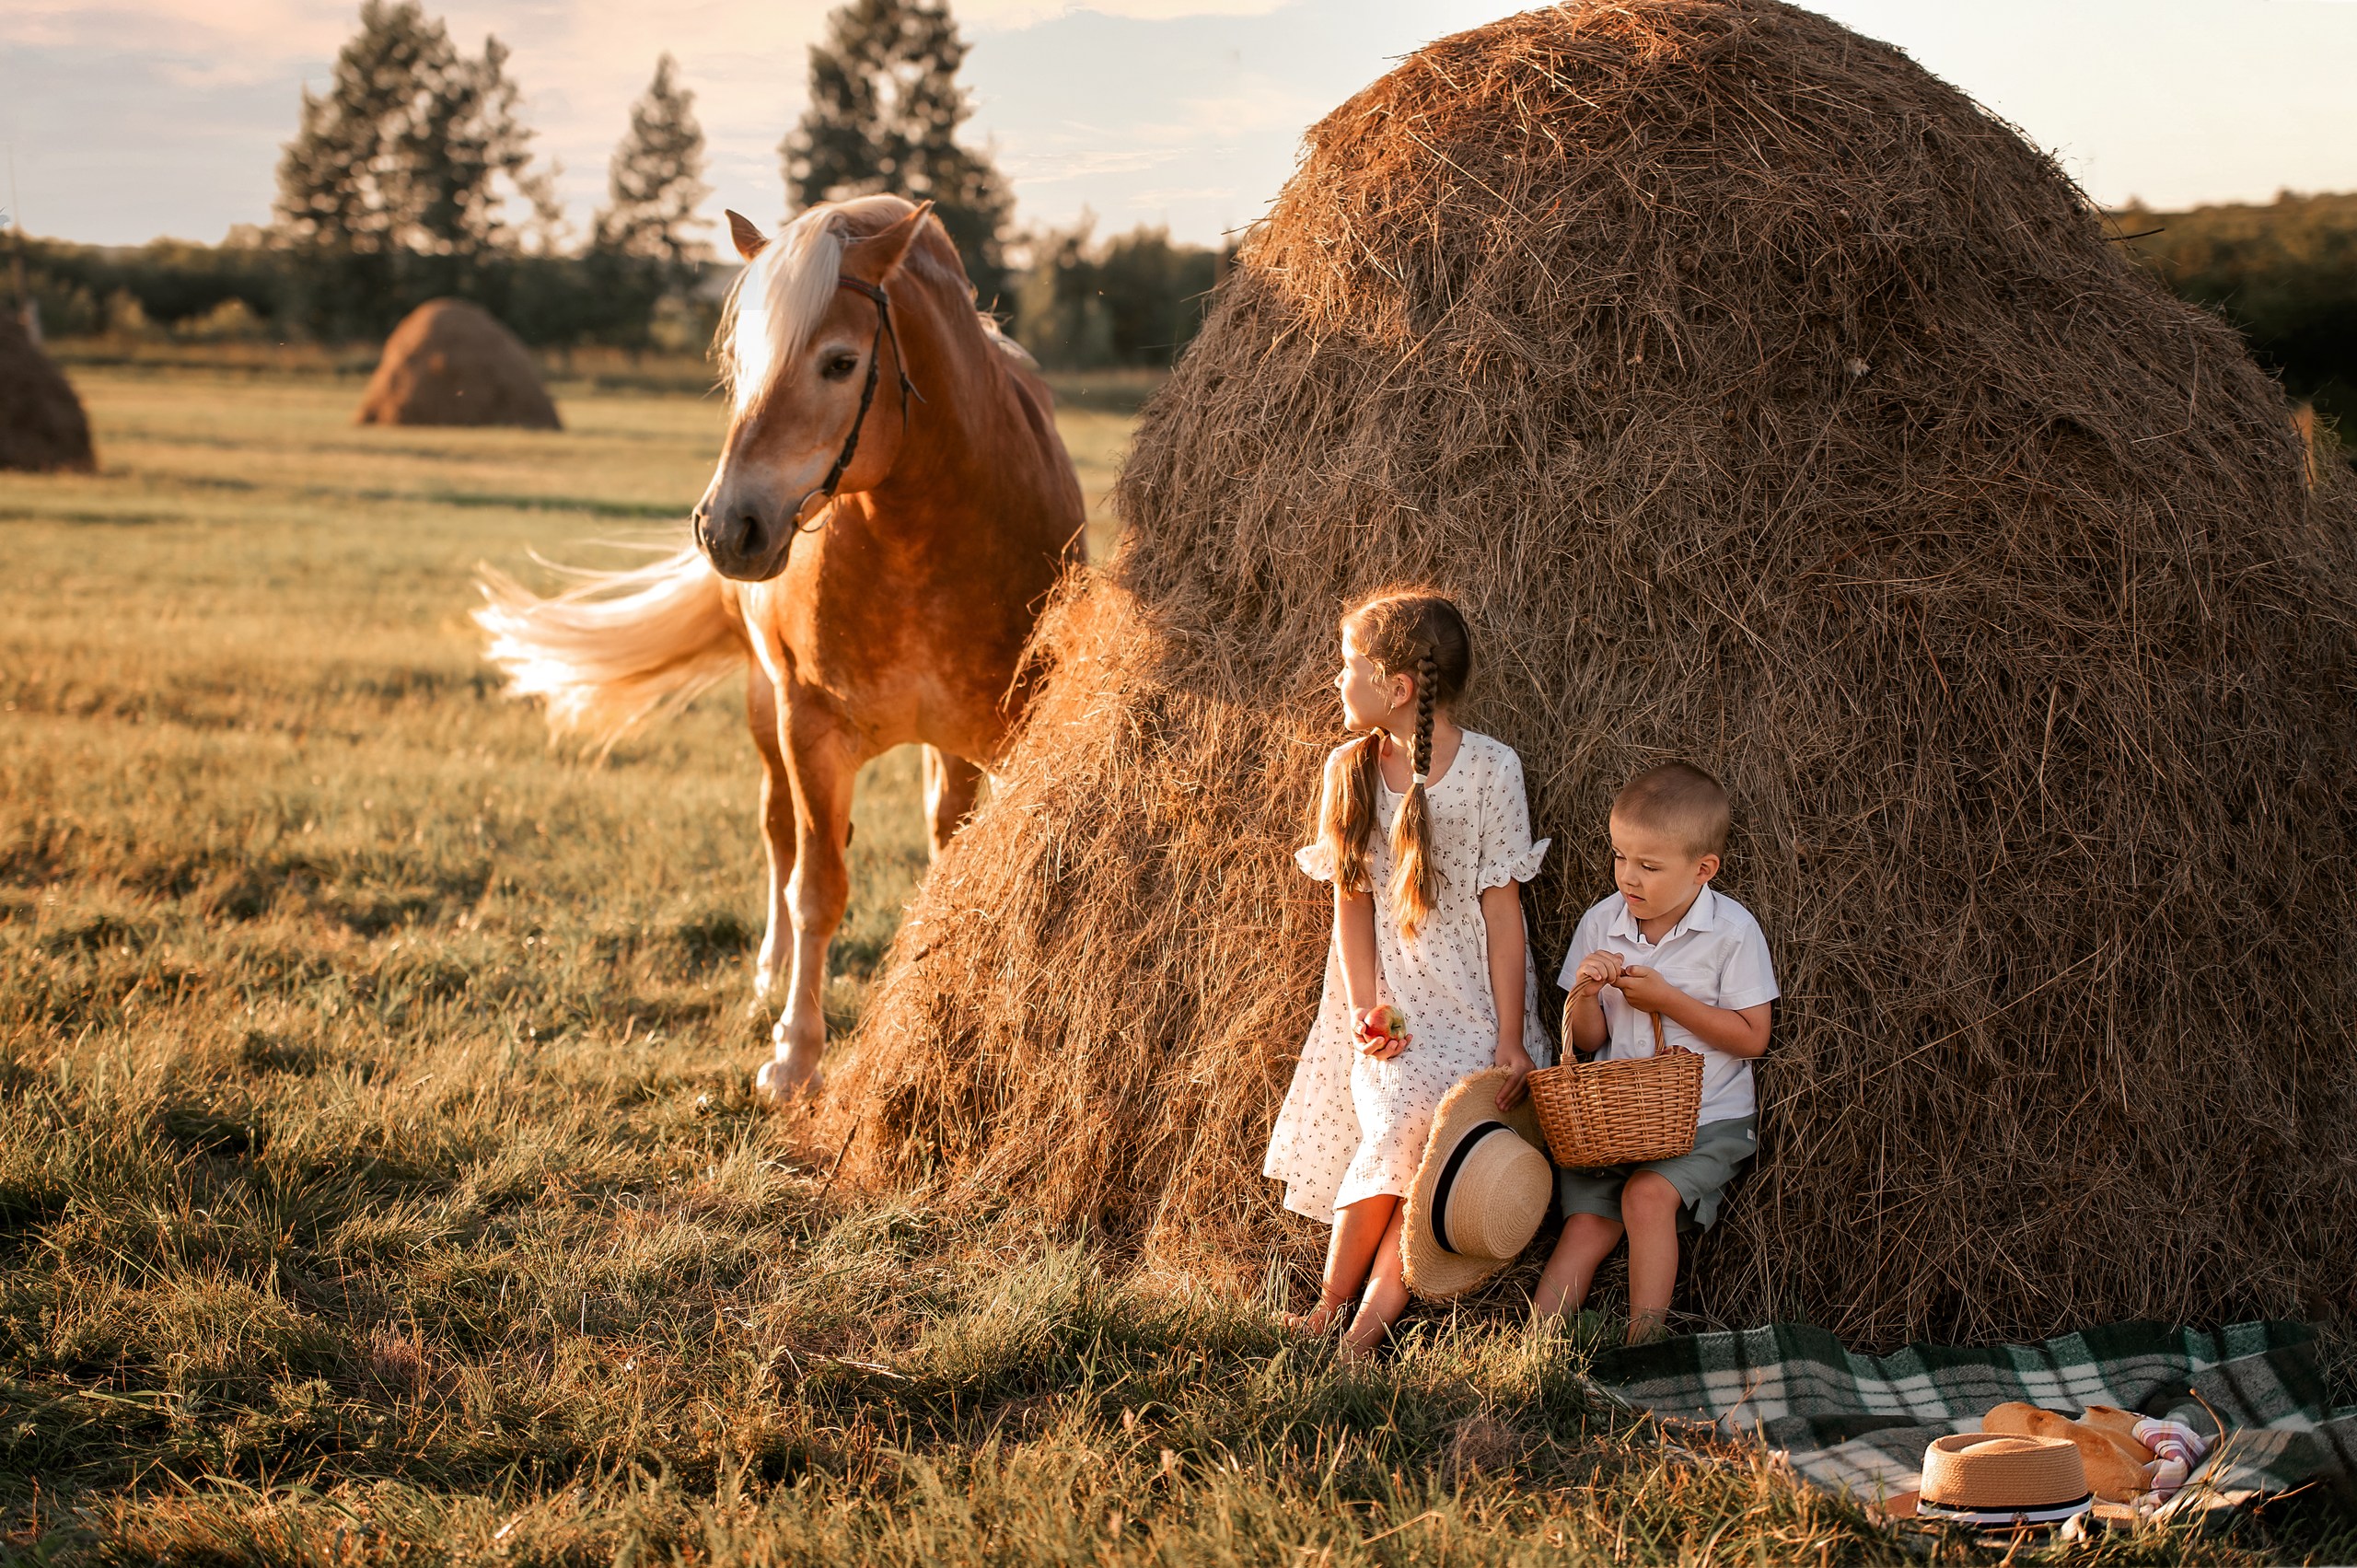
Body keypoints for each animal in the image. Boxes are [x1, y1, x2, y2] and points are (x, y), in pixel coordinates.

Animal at [478, 195, 1084, 1094]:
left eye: (839, 362)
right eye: (741, 359)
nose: (727, 527)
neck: (925, 539)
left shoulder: (1004, 737)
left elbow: (975, 869)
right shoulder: (812, 728)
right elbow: (816, 887)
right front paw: (797, 1052)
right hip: (767, 715)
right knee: (780, 835)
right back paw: (771, 967)